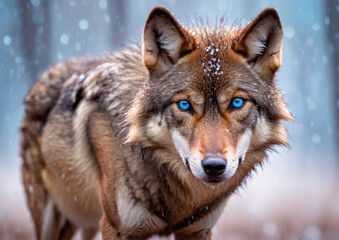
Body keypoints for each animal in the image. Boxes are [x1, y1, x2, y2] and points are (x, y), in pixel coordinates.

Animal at [20, 6, 292, 240]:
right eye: (184, 105)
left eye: (237, 102)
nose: (214, 166)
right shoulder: (117, 228)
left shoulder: (197, 230)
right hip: (50, 219)